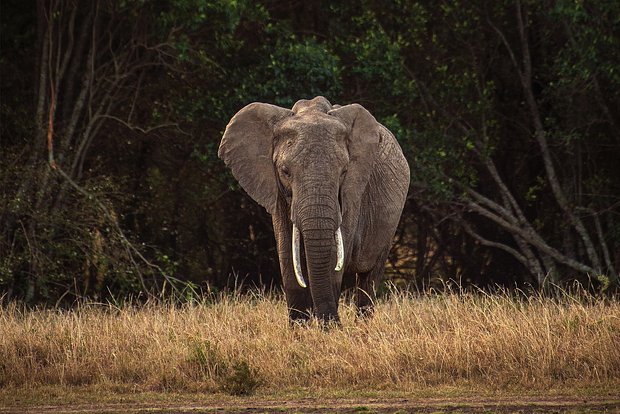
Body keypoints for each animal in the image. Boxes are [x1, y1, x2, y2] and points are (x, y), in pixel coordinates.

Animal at [219, 96, 412, 324]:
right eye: (285, 171)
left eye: (344, 171)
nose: (336, 324)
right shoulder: (277, 192)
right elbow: (287, 254)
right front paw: (300, 330)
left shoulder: (352, 194)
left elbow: (333, 256)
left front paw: (327, 329)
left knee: (370, 276)